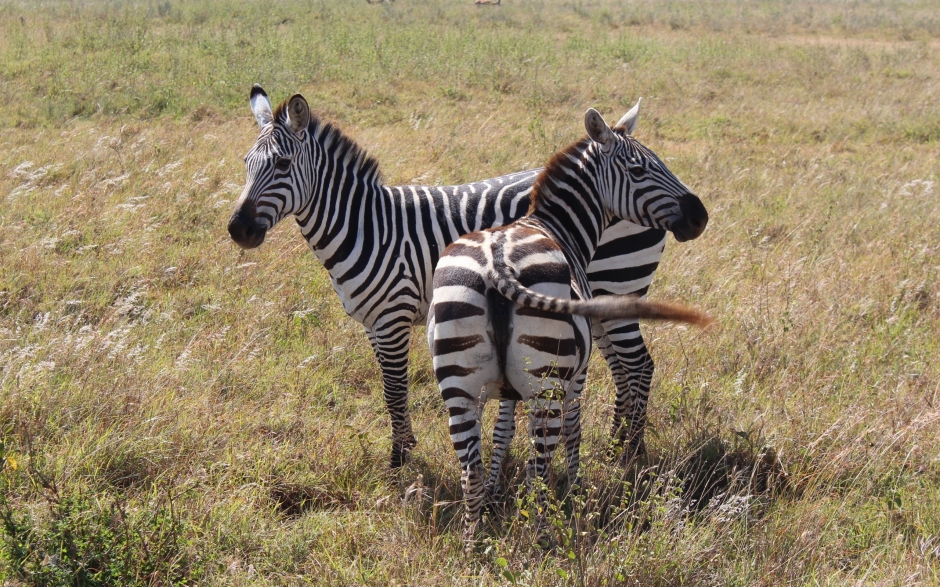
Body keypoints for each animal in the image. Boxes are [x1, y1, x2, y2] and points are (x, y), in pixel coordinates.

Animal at [226, 86, 696, 468]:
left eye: (283, 164)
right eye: (247, 164)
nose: (238, 229)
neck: (368, 226)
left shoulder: (393, 318)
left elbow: (394, 390)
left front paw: (399, 462)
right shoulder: (374, 324)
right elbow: (390, 390)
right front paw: (405, 448)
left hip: (618, 279)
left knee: (638, 364)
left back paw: (630, 451)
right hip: (595, 299)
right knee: (621, 366)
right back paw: (616, 443)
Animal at [426, 107, 704, 544]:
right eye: (640, 169)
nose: (700, 217)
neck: (554, 226)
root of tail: (496, 264)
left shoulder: (508, 388)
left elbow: (502, 430)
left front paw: (494, 494)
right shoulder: (578, 374)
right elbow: (575, 429)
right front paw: (575, 487)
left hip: (458, 386)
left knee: (469, 471)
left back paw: (474, 541)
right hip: (548, 384)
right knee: (539, 467)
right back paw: (545, 536)